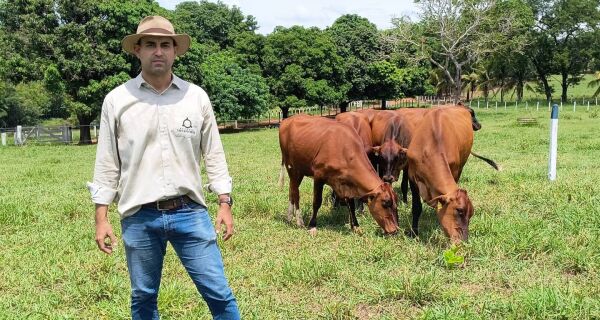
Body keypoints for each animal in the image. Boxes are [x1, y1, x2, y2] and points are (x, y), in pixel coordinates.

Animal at [408, 107, 496, 242]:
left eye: (471, 214)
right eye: (459, 210)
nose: (464, 240)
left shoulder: (454, 169)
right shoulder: (412, 176)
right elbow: (416, 207)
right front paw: (414, 233)